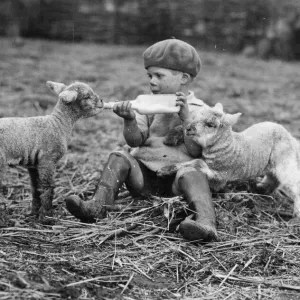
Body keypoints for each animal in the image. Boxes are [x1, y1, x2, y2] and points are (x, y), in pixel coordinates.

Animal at [0, 80, 104, 223]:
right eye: (86, 96)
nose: (102, 101)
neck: (58, 124)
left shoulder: (33, 164)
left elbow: (36, 188)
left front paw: (34, 213)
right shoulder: (48, 160)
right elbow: (48, 188)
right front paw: (47, 216)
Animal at [159, 103, 300, 223]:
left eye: (210, 124)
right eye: (196, 116)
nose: (188, 128)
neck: (228, 146)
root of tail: (290, 137)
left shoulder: (222, 175)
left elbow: (198, 162)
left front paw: (166, 169)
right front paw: (165, 164)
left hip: (285, 159)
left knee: (293, 182)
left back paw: (296, 214)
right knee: (274, 177)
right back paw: (261, 188)